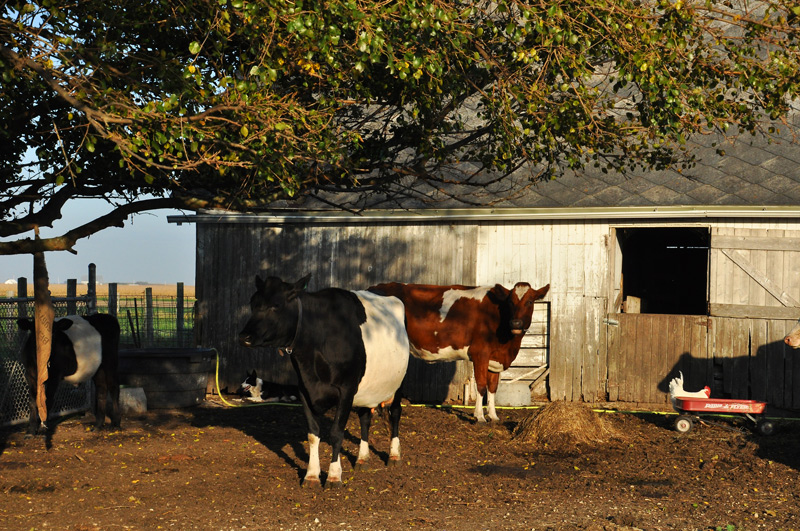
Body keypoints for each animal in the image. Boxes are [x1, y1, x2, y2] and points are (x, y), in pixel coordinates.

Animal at [238, 274, 410, 488]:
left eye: (275, 305)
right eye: (253, 303)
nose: (244, 337)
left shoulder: (346, 389)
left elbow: (336, 432)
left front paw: (334, 476)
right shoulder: (304, 389)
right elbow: (313, 433)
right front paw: (311, 475)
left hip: (399, 382)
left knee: (395, 413)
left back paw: (394, 456)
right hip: (367, 387)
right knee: (365, 418)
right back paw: (362, 459)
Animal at [368, 281, 550, 423]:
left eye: (530, 301)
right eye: (510, 302)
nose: (516, 323)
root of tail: (375, 287)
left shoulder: (495, 359)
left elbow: (493, 388)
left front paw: (493, 416)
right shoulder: (480, 354)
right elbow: (481, 386)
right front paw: (479, 417)